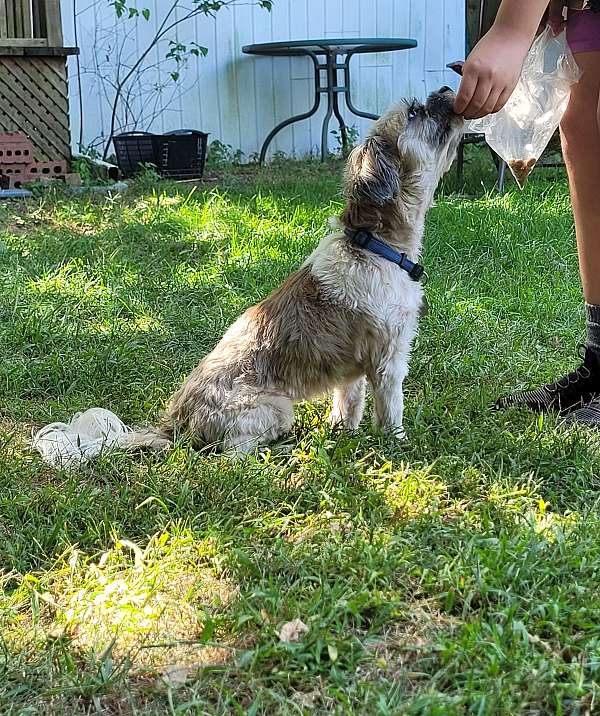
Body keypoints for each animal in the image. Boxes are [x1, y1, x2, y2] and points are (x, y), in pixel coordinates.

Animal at [124, 88, 464, 454]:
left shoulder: (353, 369)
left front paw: (343, 433)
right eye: (415, 112)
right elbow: (390, 408)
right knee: (234, 452)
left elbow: (348, 403)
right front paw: (397, 443)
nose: (446, 89)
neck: (374, 245)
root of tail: (176, 425)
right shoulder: (389, 357)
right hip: (274, 408)